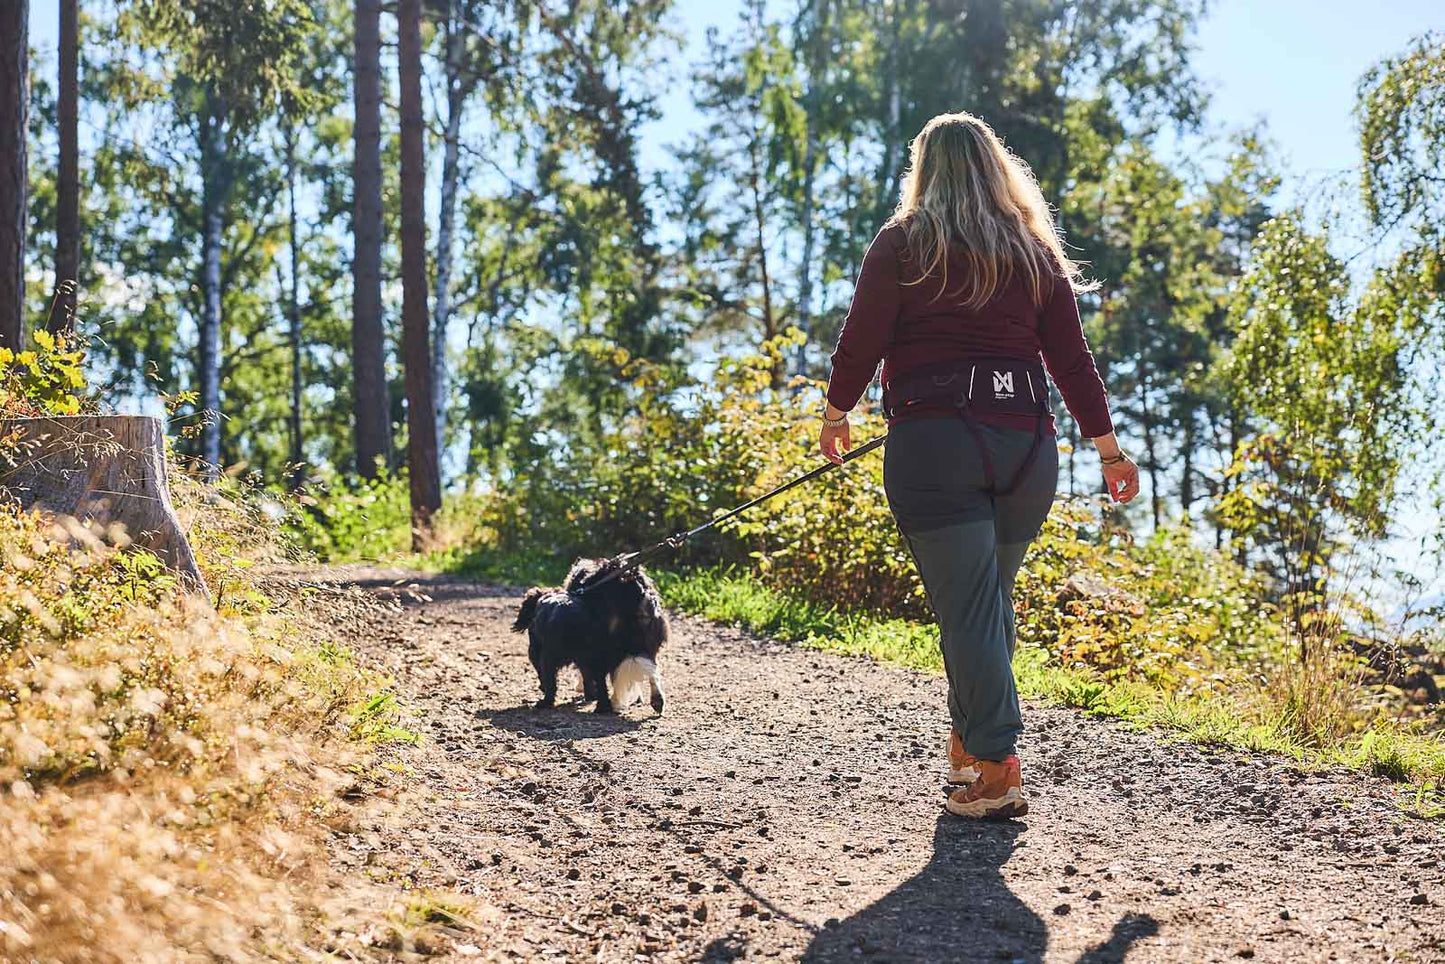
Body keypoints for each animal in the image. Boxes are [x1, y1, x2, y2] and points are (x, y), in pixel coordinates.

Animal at [511, 560, 667, 713]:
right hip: (643, 644)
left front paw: (546, 700)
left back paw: (604, 706)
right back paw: (651, 701)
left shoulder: (541, 653)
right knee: (651, 671)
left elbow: (548, 679)